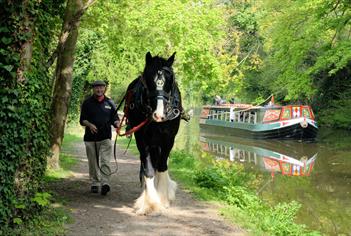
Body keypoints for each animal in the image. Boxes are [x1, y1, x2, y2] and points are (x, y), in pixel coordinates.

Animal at [124, 52, 182, 215]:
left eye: (170, 79)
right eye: (149, 78)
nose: (159, 115)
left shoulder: (168, 139)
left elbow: (162, 166)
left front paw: (163, 198)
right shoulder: (142, 139)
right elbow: (148, 169)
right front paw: (151, 204)